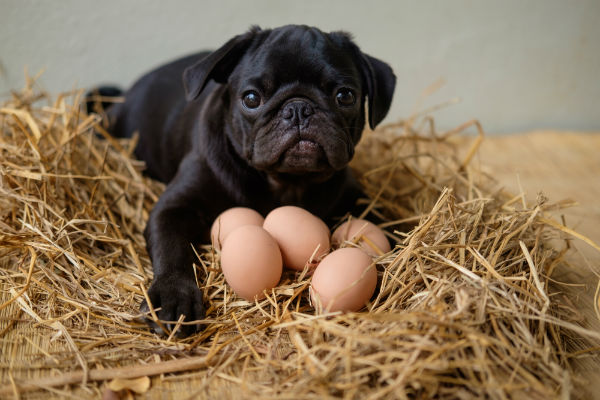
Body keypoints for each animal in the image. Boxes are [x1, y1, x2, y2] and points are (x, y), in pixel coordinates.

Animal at [96, 25, 396, 336]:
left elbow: (386, 222)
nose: (298, 108)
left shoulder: (356, 198)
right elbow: (172, 249)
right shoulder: (173, 209)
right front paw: (172, 295)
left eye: (345, 96)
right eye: (251, 99)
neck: (287, 183)